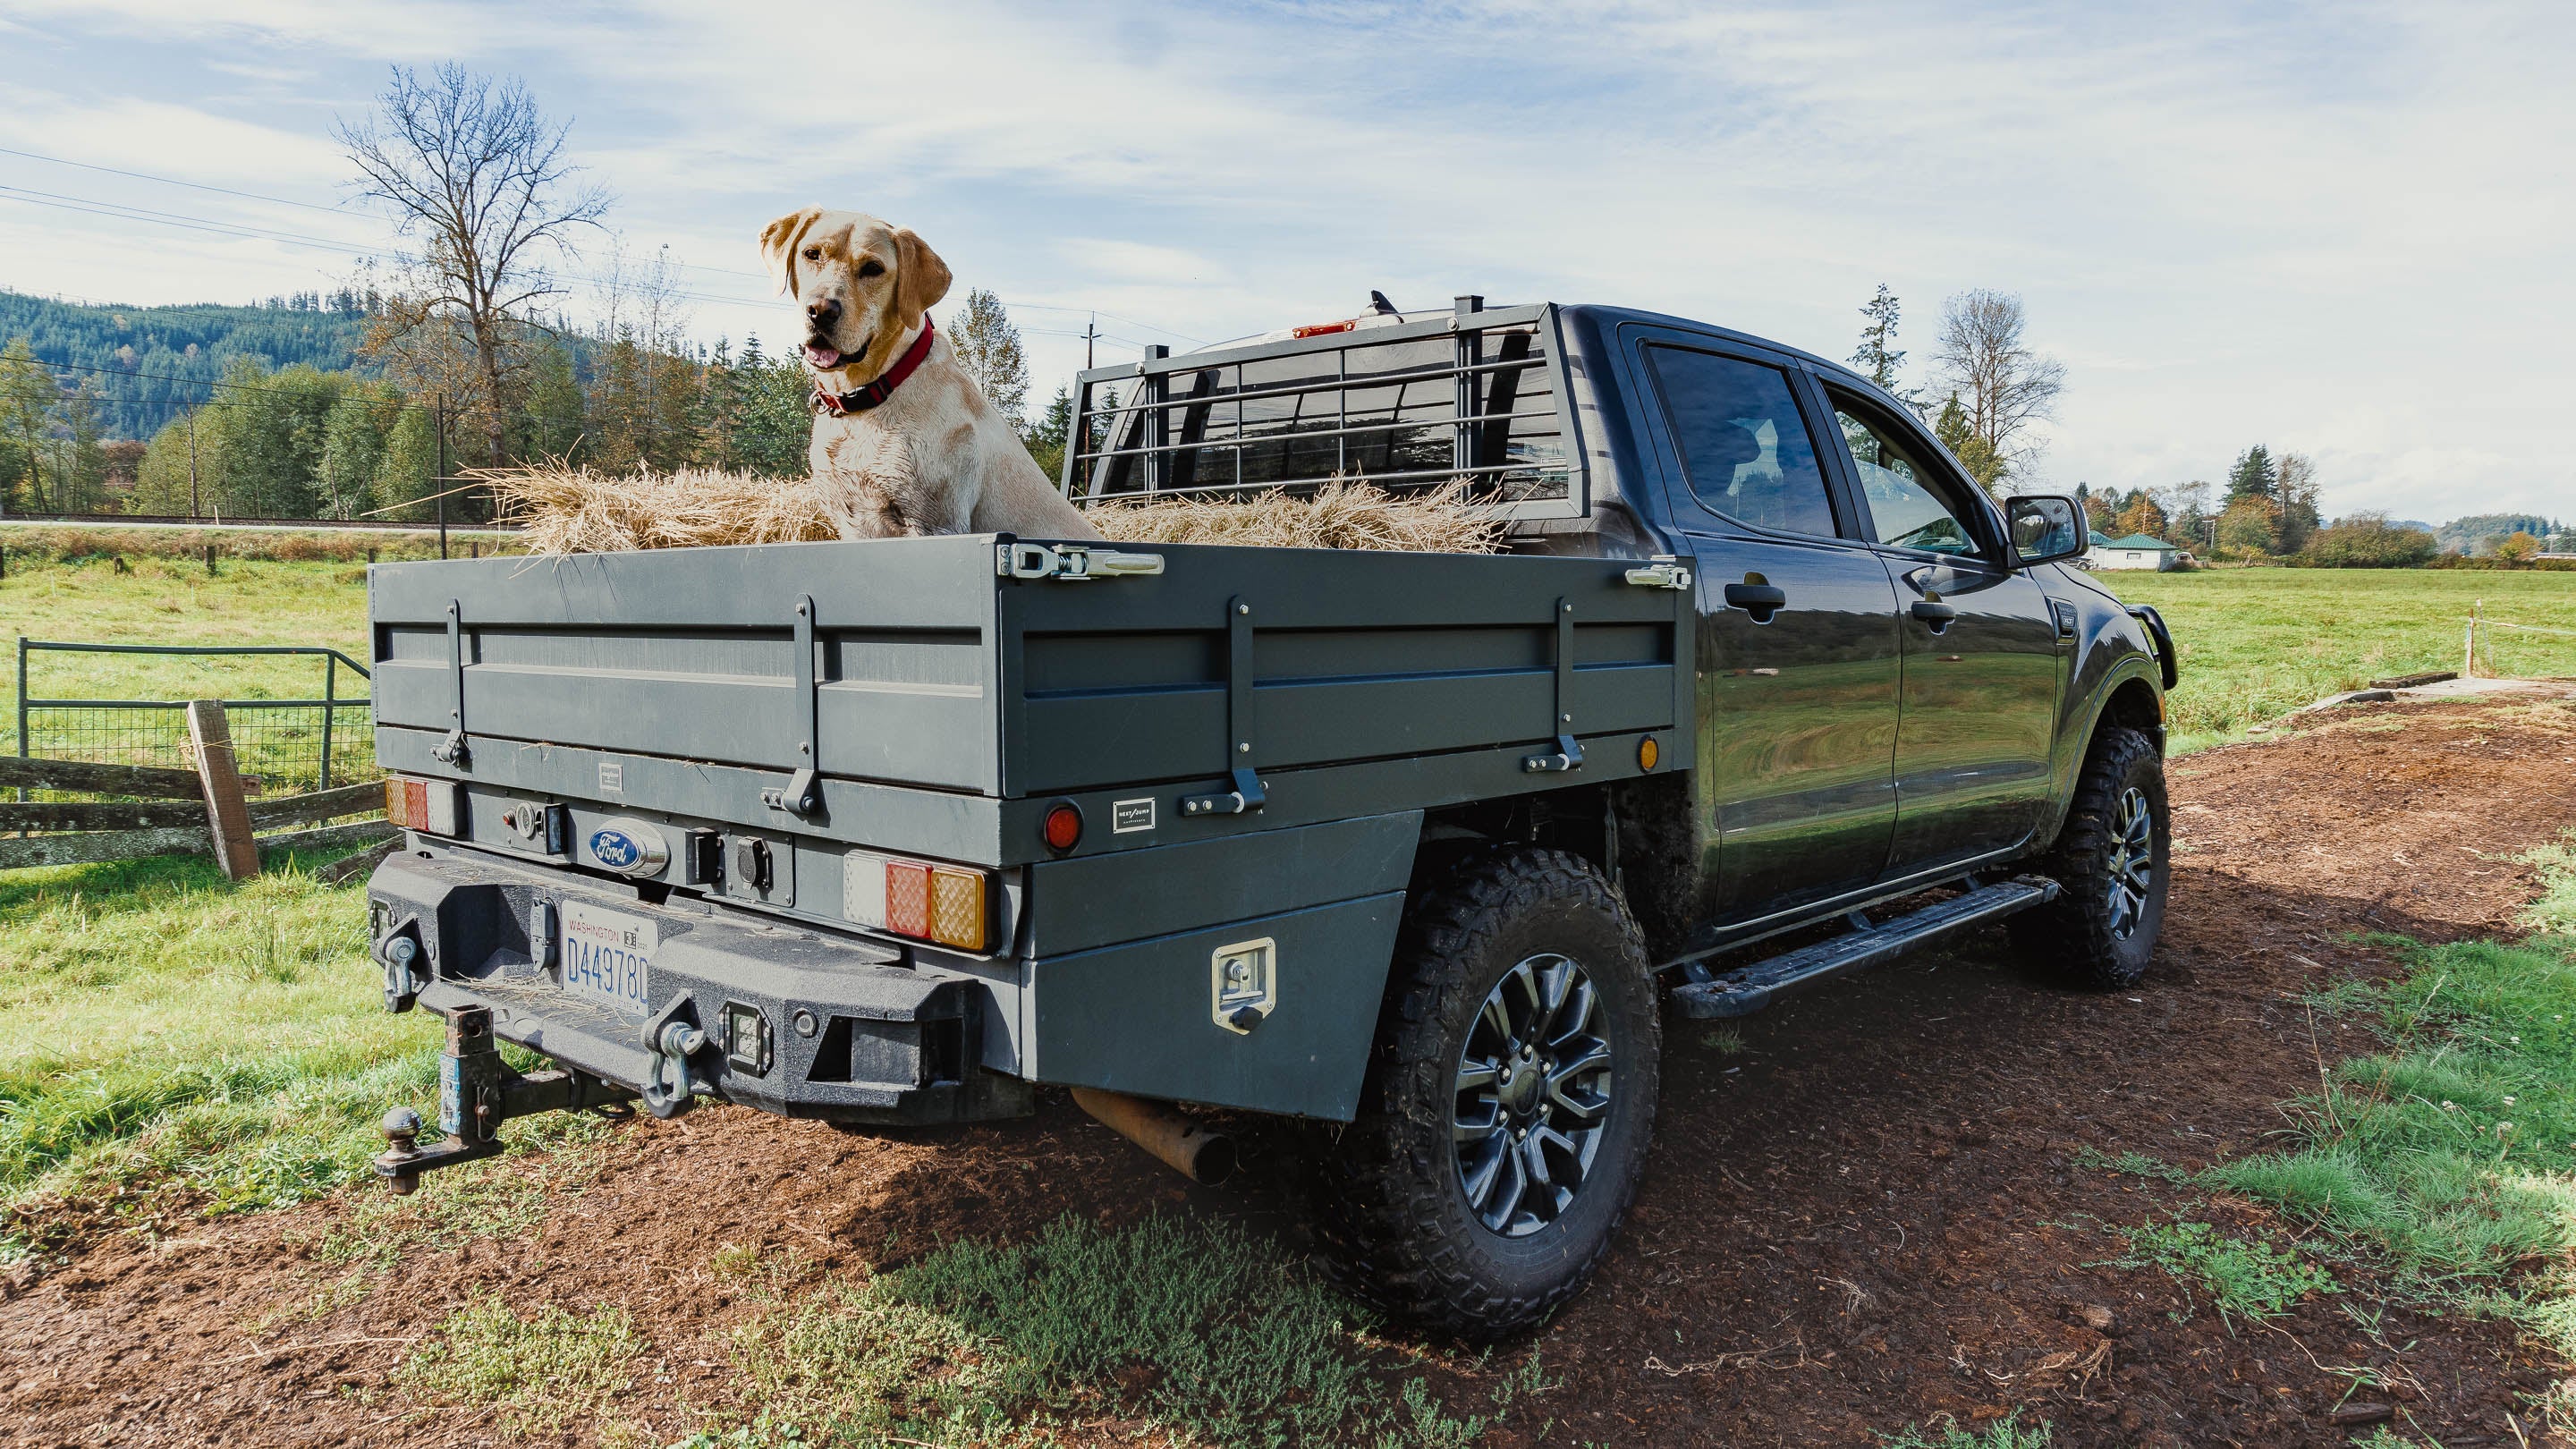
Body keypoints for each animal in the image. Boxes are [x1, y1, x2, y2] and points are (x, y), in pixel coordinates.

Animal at [751, 206, 1097, 538]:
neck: (870, 396)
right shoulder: (851, 522)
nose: (821, 311)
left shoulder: (934, 522)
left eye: (873, 268)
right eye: (812, 254)